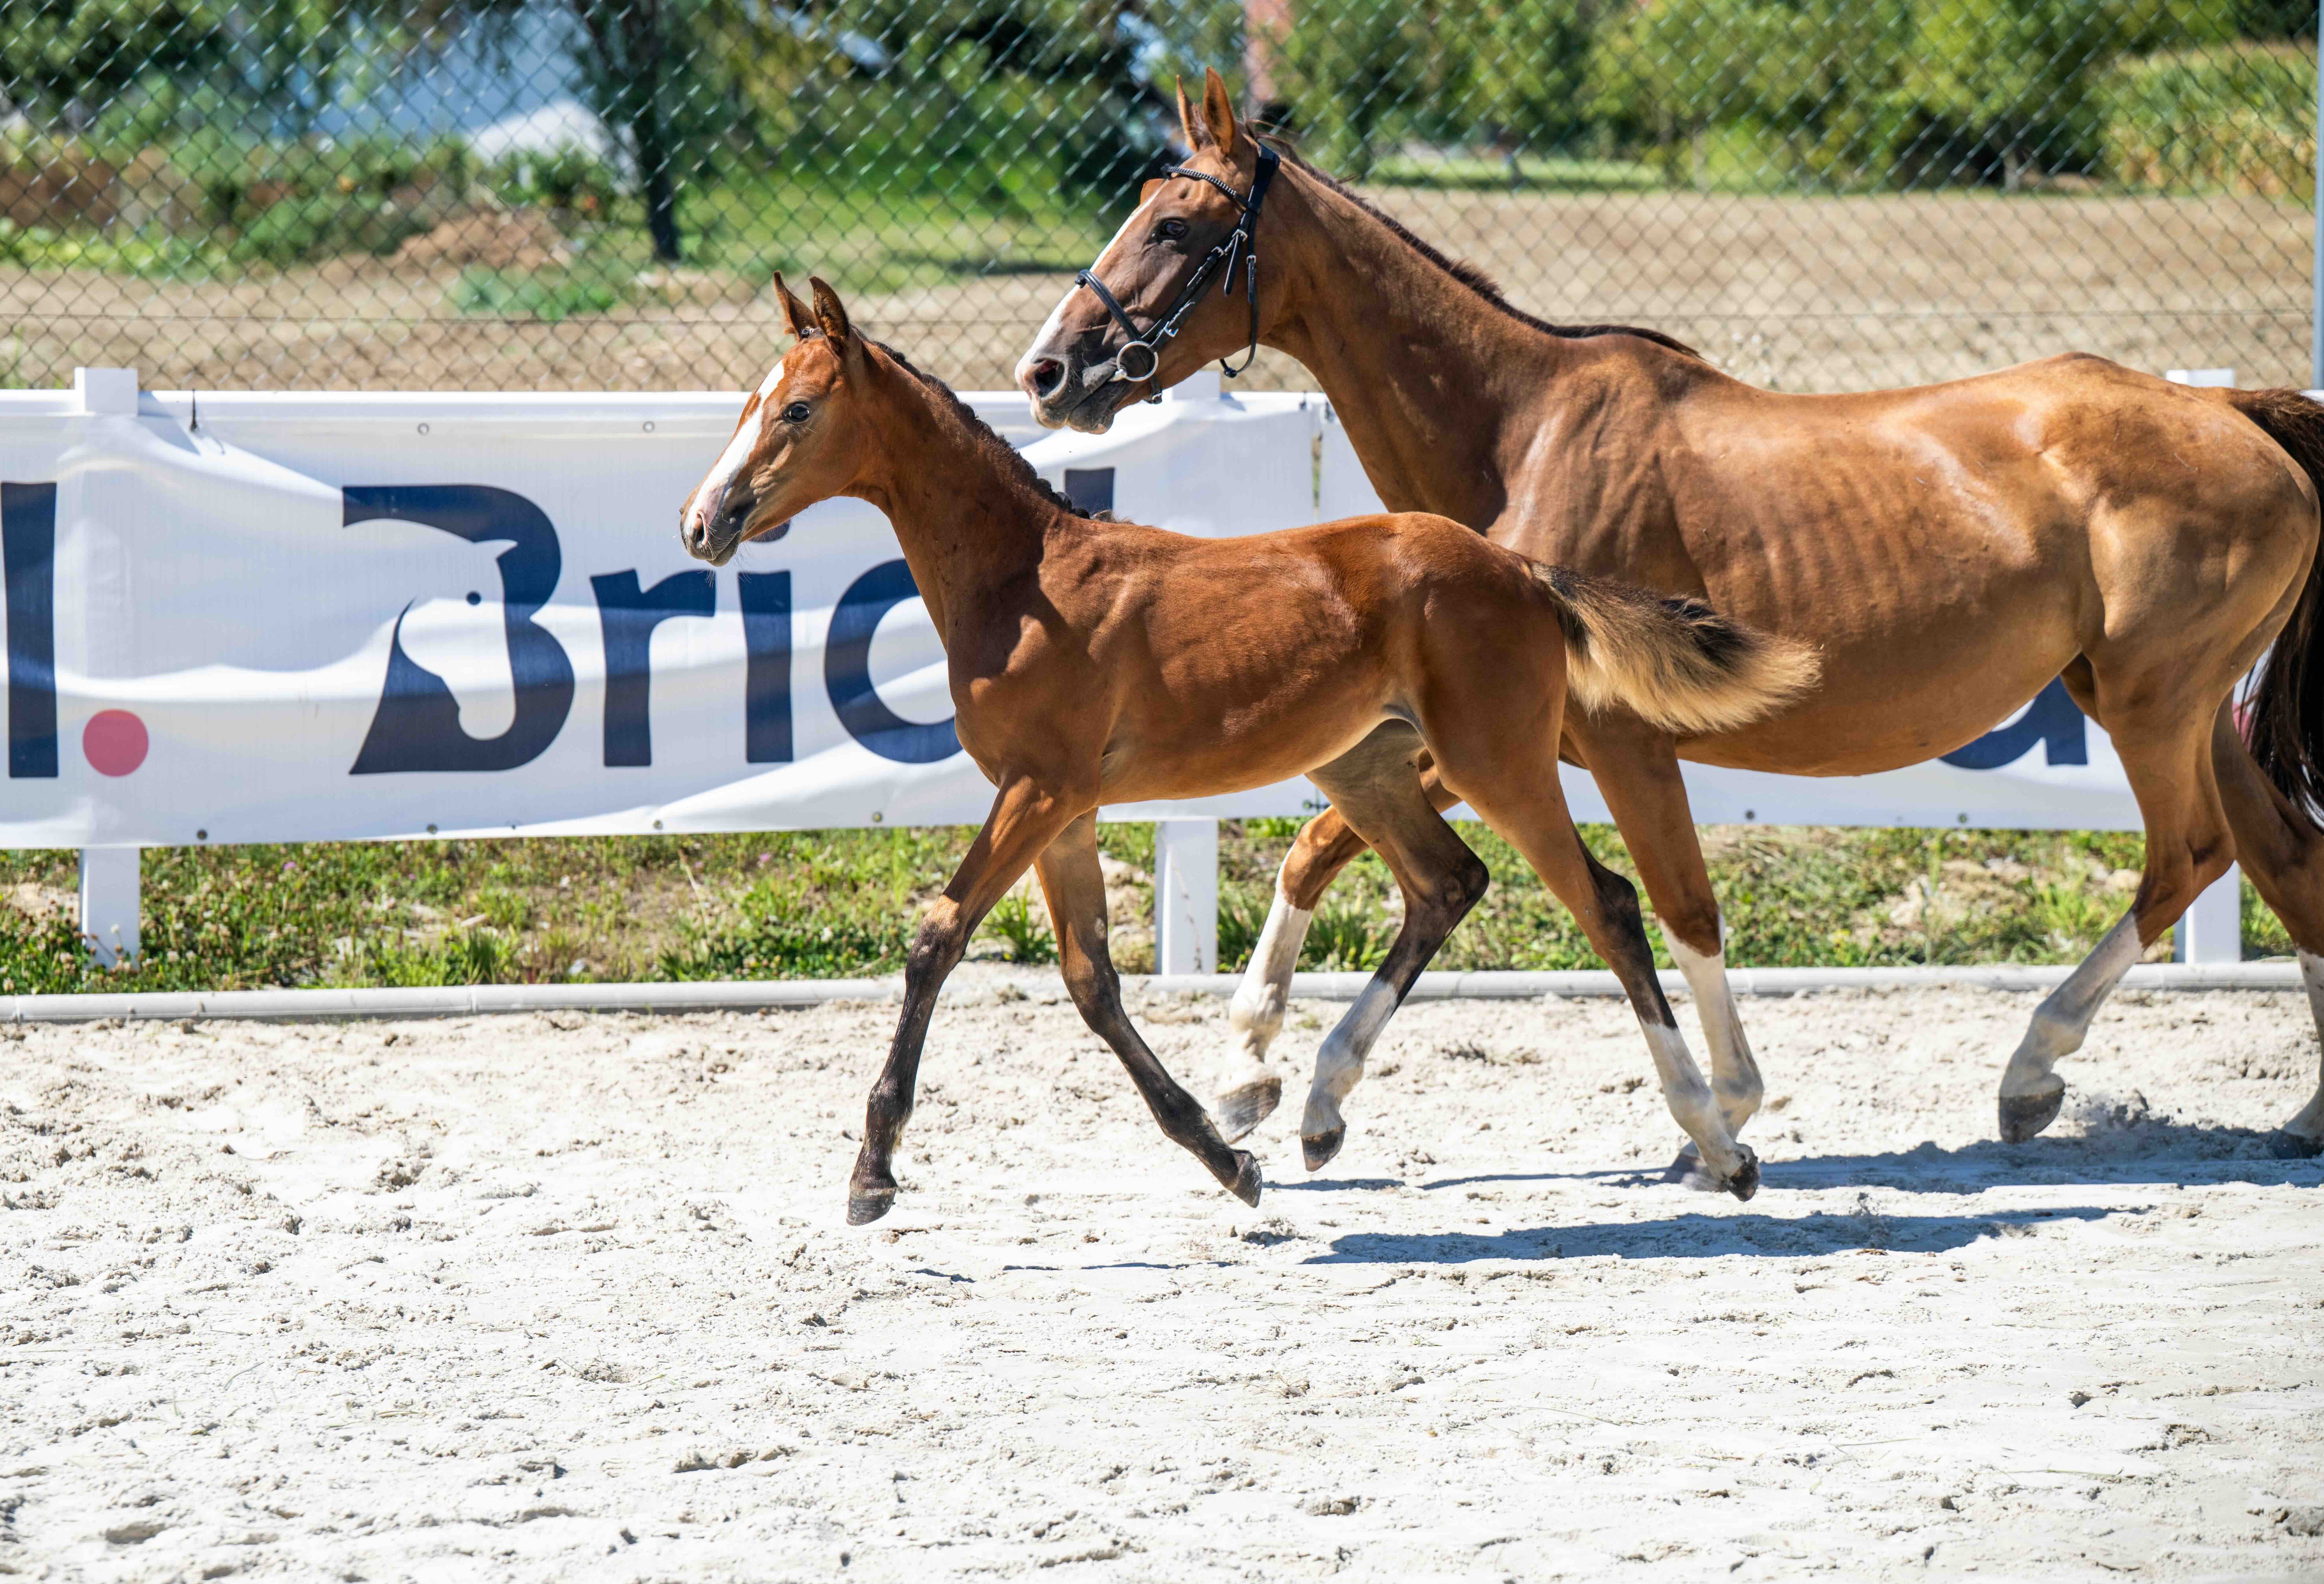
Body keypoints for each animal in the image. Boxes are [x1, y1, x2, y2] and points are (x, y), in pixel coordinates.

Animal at [680, 274, 1816, 1220]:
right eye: (745, 404)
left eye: (796, 410)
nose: (703, 521)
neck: (1024, 580)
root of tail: (1524, 571)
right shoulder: (1063, 807)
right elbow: (1090, 981)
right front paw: (1227, 1157)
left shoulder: (1035, 790)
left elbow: (938, 937)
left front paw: (872, 1173)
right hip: (1366, 767)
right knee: (1447, 884)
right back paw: (1315, 1110)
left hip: (1499, 764)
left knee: (1610, 906)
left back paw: (1720, 1145)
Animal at [1016, 68, 2324, 1167]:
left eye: (1173, 226)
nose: (1046, 372)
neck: (1520, 433)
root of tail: (2239, 416)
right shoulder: (1491, 729)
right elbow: (1324, 846)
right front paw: (1256, 1076)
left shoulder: (1609, 736)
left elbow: (1675, 903)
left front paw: (1725, 1111)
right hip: (2172, 706)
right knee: (2285, 856)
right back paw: (2302, 1115)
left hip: (2149, 703)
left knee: (2189, 856)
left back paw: (2029, 1073)